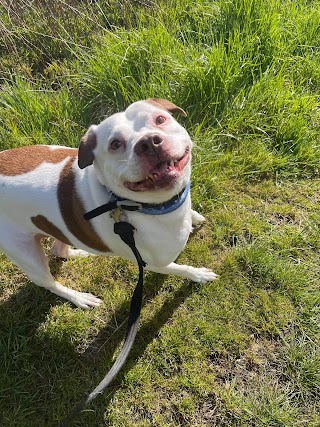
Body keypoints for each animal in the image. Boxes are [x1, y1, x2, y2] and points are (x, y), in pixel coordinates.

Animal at [0, 98, 218, 310]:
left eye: (160, 119)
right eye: (115, 144)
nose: (148, 142)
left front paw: (194, 216)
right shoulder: (150, 263)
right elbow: (180, 268)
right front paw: (197, 274)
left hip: (59, 226)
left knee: (59, 249)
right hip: (28, 256)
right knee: (49, 283)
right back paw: (79, 297)